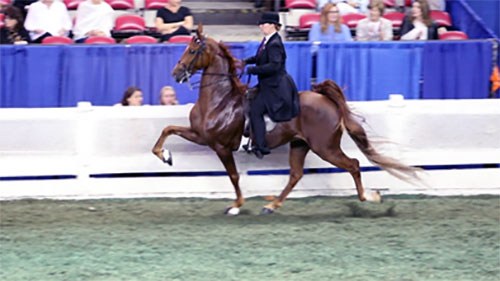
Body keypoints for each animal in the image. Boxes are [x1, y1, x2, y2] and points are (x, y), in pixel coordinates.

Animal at [151, 24, 418, 214]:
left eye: (192, 50)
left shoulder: (220, 145)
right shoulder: (200, 135)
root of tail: (328, 101)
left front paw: (236, 206)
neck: (220, 98)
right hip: (300, 144)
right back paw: (271, 206)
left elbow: (234, 176)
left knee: (352, 164)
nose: (176, 73)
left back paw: (370, 197)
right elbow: (167, 129)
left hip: (325, 147)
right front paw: (166, 156)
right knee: (296, 175)